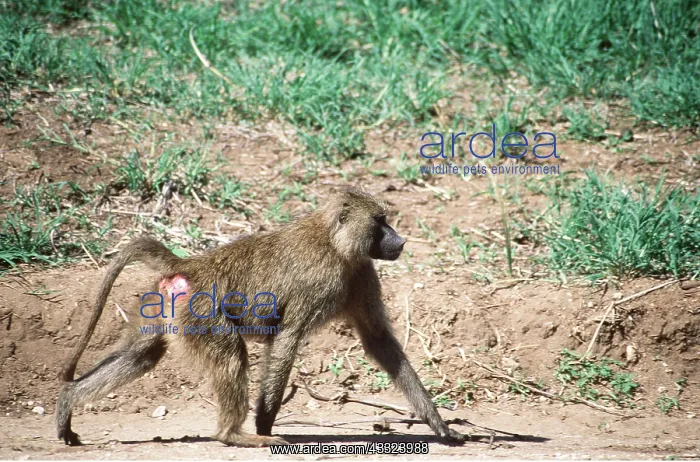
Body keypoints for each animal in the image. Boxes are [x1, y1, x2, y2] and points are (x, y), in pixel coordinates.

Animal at [56, 186, 467, 447]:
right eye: (380, 222)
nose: (400, 241)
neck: (335, 243)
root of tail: (188, 265)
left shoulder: (362, 273)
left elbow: (379, 341)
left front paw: (439, 426)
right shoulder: (319, 283)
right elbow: (287, 338)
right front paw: (265, 423)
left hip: (166, 309)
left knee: (141, 356)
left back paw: (68, 405)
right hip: (202, 313)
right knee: (230, 356)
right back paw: (236, 436)